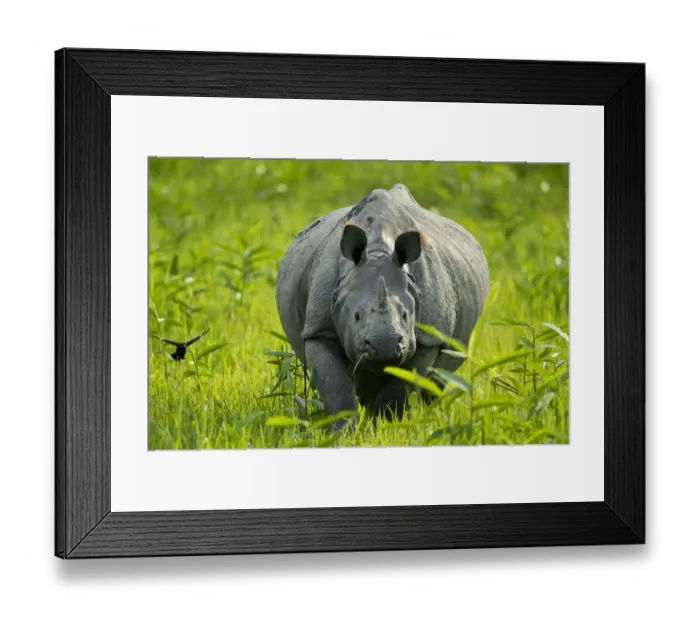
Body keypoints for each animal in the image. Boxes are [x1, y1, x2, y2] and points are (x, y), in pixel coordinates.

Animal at [275, 184, 490, 417]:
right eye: (356, 316)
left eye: (405, 315)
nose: (384, 345)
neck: (378, 248)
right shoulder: (320, 329)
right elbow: (337, 391)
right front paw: (342, 427)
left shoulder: (428, 338)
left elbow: (398, 392)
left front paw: (386, 423)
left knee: (438, 379)